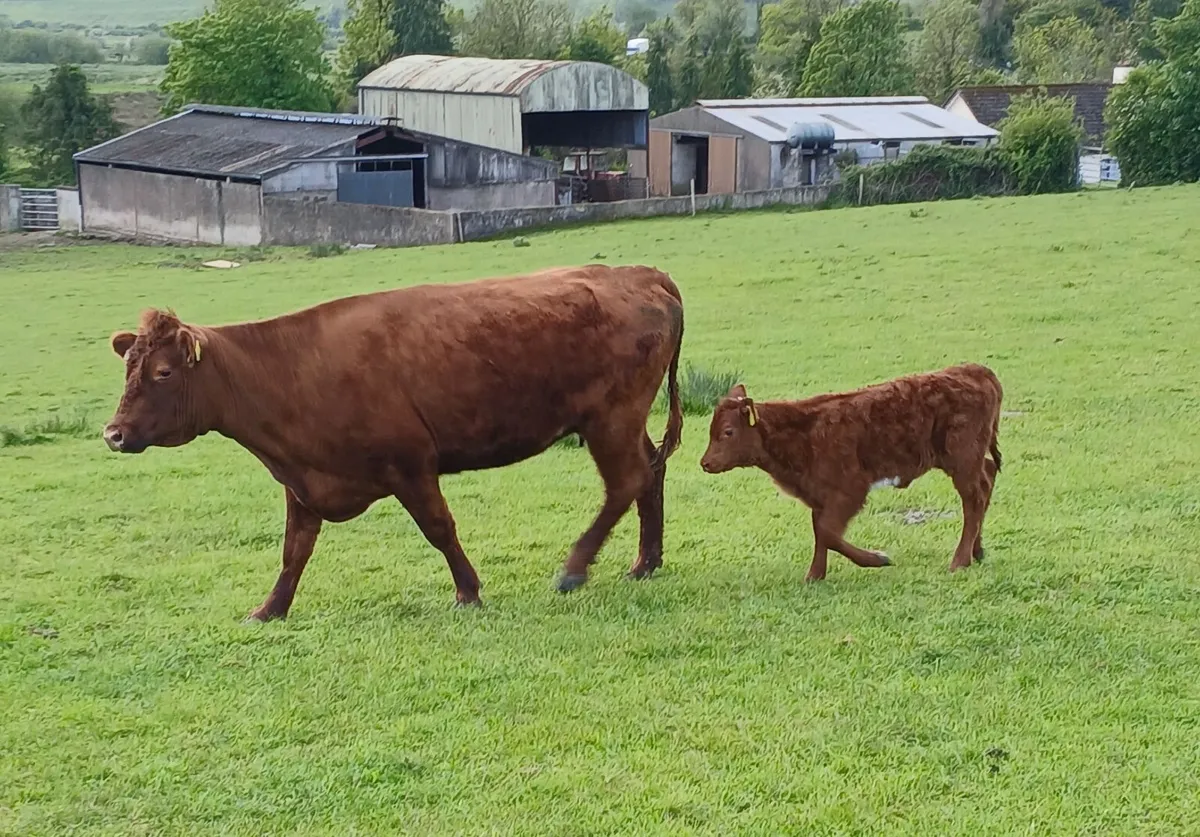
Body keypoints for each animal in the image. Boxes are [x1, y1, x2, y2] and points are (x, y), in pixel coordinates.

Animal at [102, 264, 685, 621]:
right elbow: (294, 551)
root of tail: (642, 274)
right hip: (622, 420)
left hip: (609, 418)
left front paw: (468, 591)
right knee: (650, 471)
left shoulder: (410, 465)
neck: (293, 369)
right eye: (127, 367)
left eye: (162, 372)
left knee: (627, 481)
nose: (114, 433)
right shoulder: (301, 482)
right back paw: (646, 561)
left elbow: (439, 529)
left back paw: (575, 568)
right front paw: (269, 610)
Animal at [699, 364, 1003, 581]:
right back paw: (977, 551)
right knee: (987, 480)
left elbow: (828, 533)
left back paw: (960, 561)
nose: (705, 463)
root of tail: (975, 370)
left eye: (728, 432)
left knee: (973, 500)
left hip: (962, 459)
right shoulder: (819, 495)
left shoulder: (850, 490)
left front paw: (878, 558)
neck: (803, 432)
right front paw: (814, 575)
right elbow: (820, 531)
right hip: (970, 460)